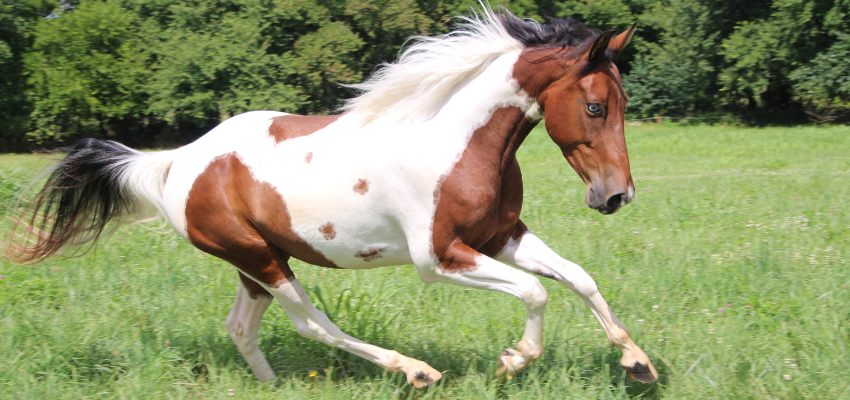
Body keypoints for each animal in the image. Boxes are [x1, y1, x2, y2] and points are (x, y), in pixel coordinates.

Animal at [4, 7, 656, 388]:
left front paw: (638, 363)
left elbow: (578, 278)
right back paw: (415, 371)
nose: (616, 196)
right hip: (261, 259)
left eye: (622, 102)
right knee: (312, 323)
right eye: (595, 106)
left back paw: (271, 386)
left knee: (242, 327)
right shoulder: (440, 257)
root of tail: (175, 162)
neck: (455, 140)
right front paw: (512, 360)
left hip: (256, 261)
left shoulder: (501, 238)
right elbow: (535, 291)